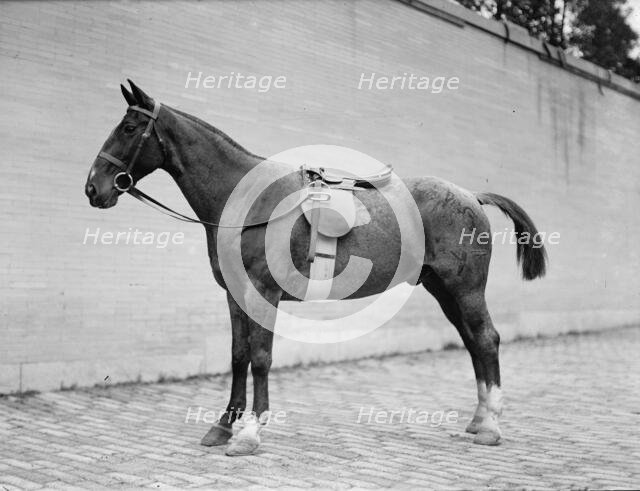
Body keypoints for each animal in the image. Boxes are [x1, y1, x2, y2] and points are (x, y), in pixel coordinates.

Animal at [85, 80, 547, 456]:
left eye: (129, 129)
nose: (93, 187)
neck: (249, 202)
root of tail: (471, 195)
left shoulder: (264, 292)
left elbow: (261, 358)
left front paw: (250, 433)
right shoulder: (236, 296)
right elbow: (237, 356)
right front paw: (222, 426)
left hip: (465, 289)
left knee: (486, 339)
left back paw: (490, 427)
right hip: (442, 290)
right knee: (473, 343)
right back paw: (478, 419)